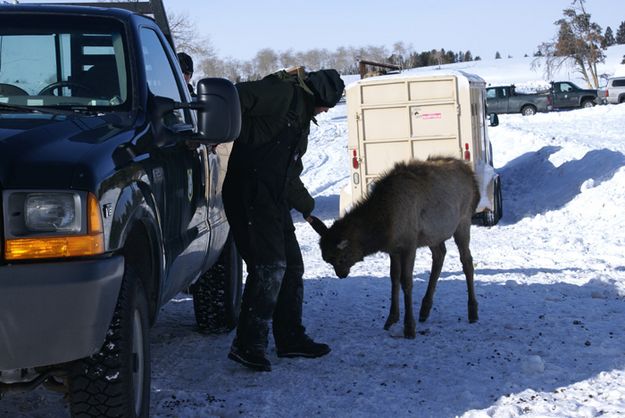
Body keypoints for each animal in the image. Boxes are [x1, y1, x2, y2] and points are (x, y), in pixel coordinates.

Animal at [310, 158, 478, 338]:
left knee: (467, 261)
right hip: (434, 235)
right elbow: (394, 278)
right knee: (440, 255)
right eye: (328, 260)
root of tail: (471, 175)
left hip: (463, 220)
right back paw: (425, 309)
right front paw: (391, 318)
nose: (341, 275)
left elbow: (406, 281)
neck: (386, 225)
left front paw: (409, 327)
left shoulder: (409, 244)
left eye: (341, 258)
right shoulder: (394, 249)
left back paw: (473, 312)